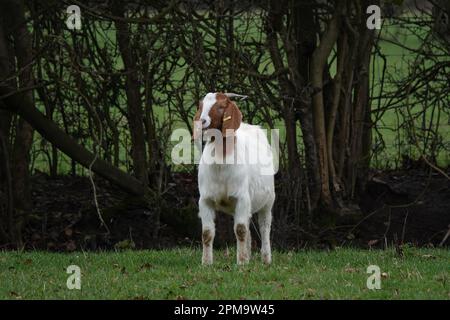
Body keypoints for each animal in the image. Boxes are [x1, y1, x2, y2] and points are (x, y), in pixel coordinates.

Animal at [192, 91, 276, 264]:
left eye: (221, 107)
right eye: (201, 105)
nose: (202, 121)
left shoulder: (242, 198)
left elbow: (240, 230)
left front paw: (242, 262)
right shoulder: (205, 200)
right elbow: (207, 233)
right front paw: (206, 262)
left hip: (268, 200)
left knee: (265, 227)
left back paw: (266, 259)